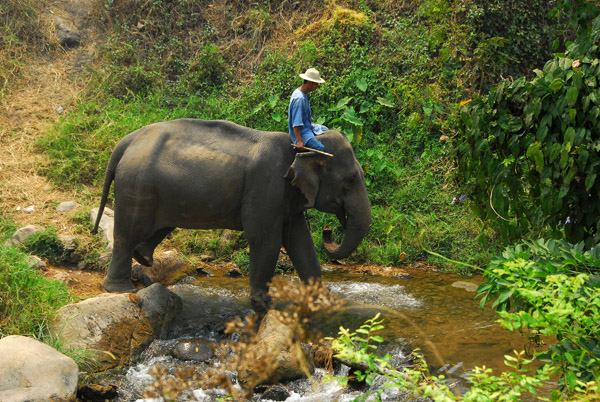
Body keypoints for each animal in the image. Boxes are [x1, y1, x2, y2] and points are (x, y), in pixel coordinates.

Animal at [92, 118, 370, 310]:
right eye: (350, 179)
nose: (328, 230)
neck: (298, 148)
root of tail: (127, 140)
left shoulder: (286, 198)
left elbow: (300, 241)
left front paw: (323, 301)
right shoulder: (266, 188)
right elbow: (266, 241)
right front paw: (263, 306)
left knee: (160, 226)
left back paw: (144, 258)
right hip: (136, 185)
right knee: (127, 234)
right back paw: (119, 287)